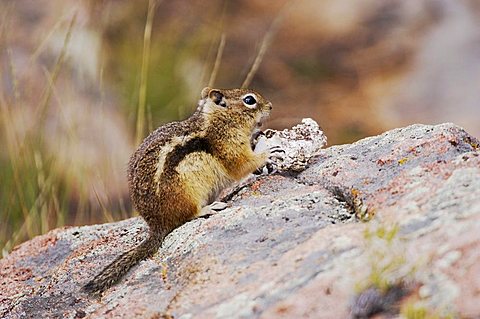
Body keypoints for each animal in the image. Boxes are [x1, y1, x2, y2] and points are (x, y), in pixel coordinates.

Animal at [82, 87, 274, 296]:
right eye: (249, 100)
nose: (271, 106)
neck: (219, 121)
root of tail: (157, 225)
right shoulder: (229, 148)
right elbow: (242, 164)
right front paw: (268, 152)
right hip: (187, 194)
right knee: (188, 216)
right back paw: (209, 208)